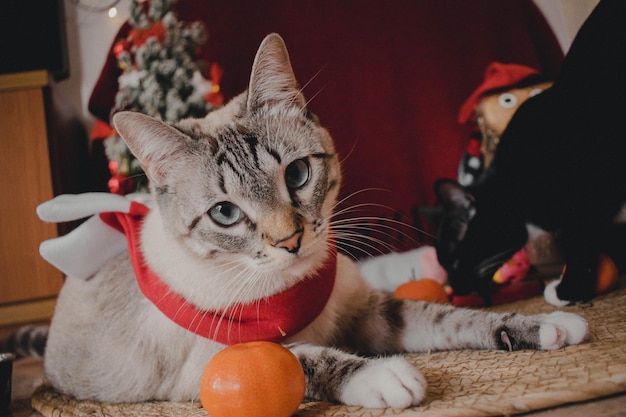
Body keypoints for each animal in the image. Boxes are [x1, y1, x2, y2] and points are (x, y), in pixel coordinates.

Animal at [20, 33, 588, 410]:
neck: (288, 291)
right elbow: (305, 359)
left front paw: (552, 325)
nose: (289, 241)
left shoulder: (372, 313)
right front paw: (387, 379)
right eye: (225, 213)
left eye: (296, 175)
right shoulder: (206, 366)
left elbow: (453, 318)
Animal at [434, 0, 624, 306]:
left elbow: (580, 249)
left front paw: (567, 290)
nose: (457, 289)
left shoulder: (579, 199)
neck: (512, 180)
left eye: (453, 261)